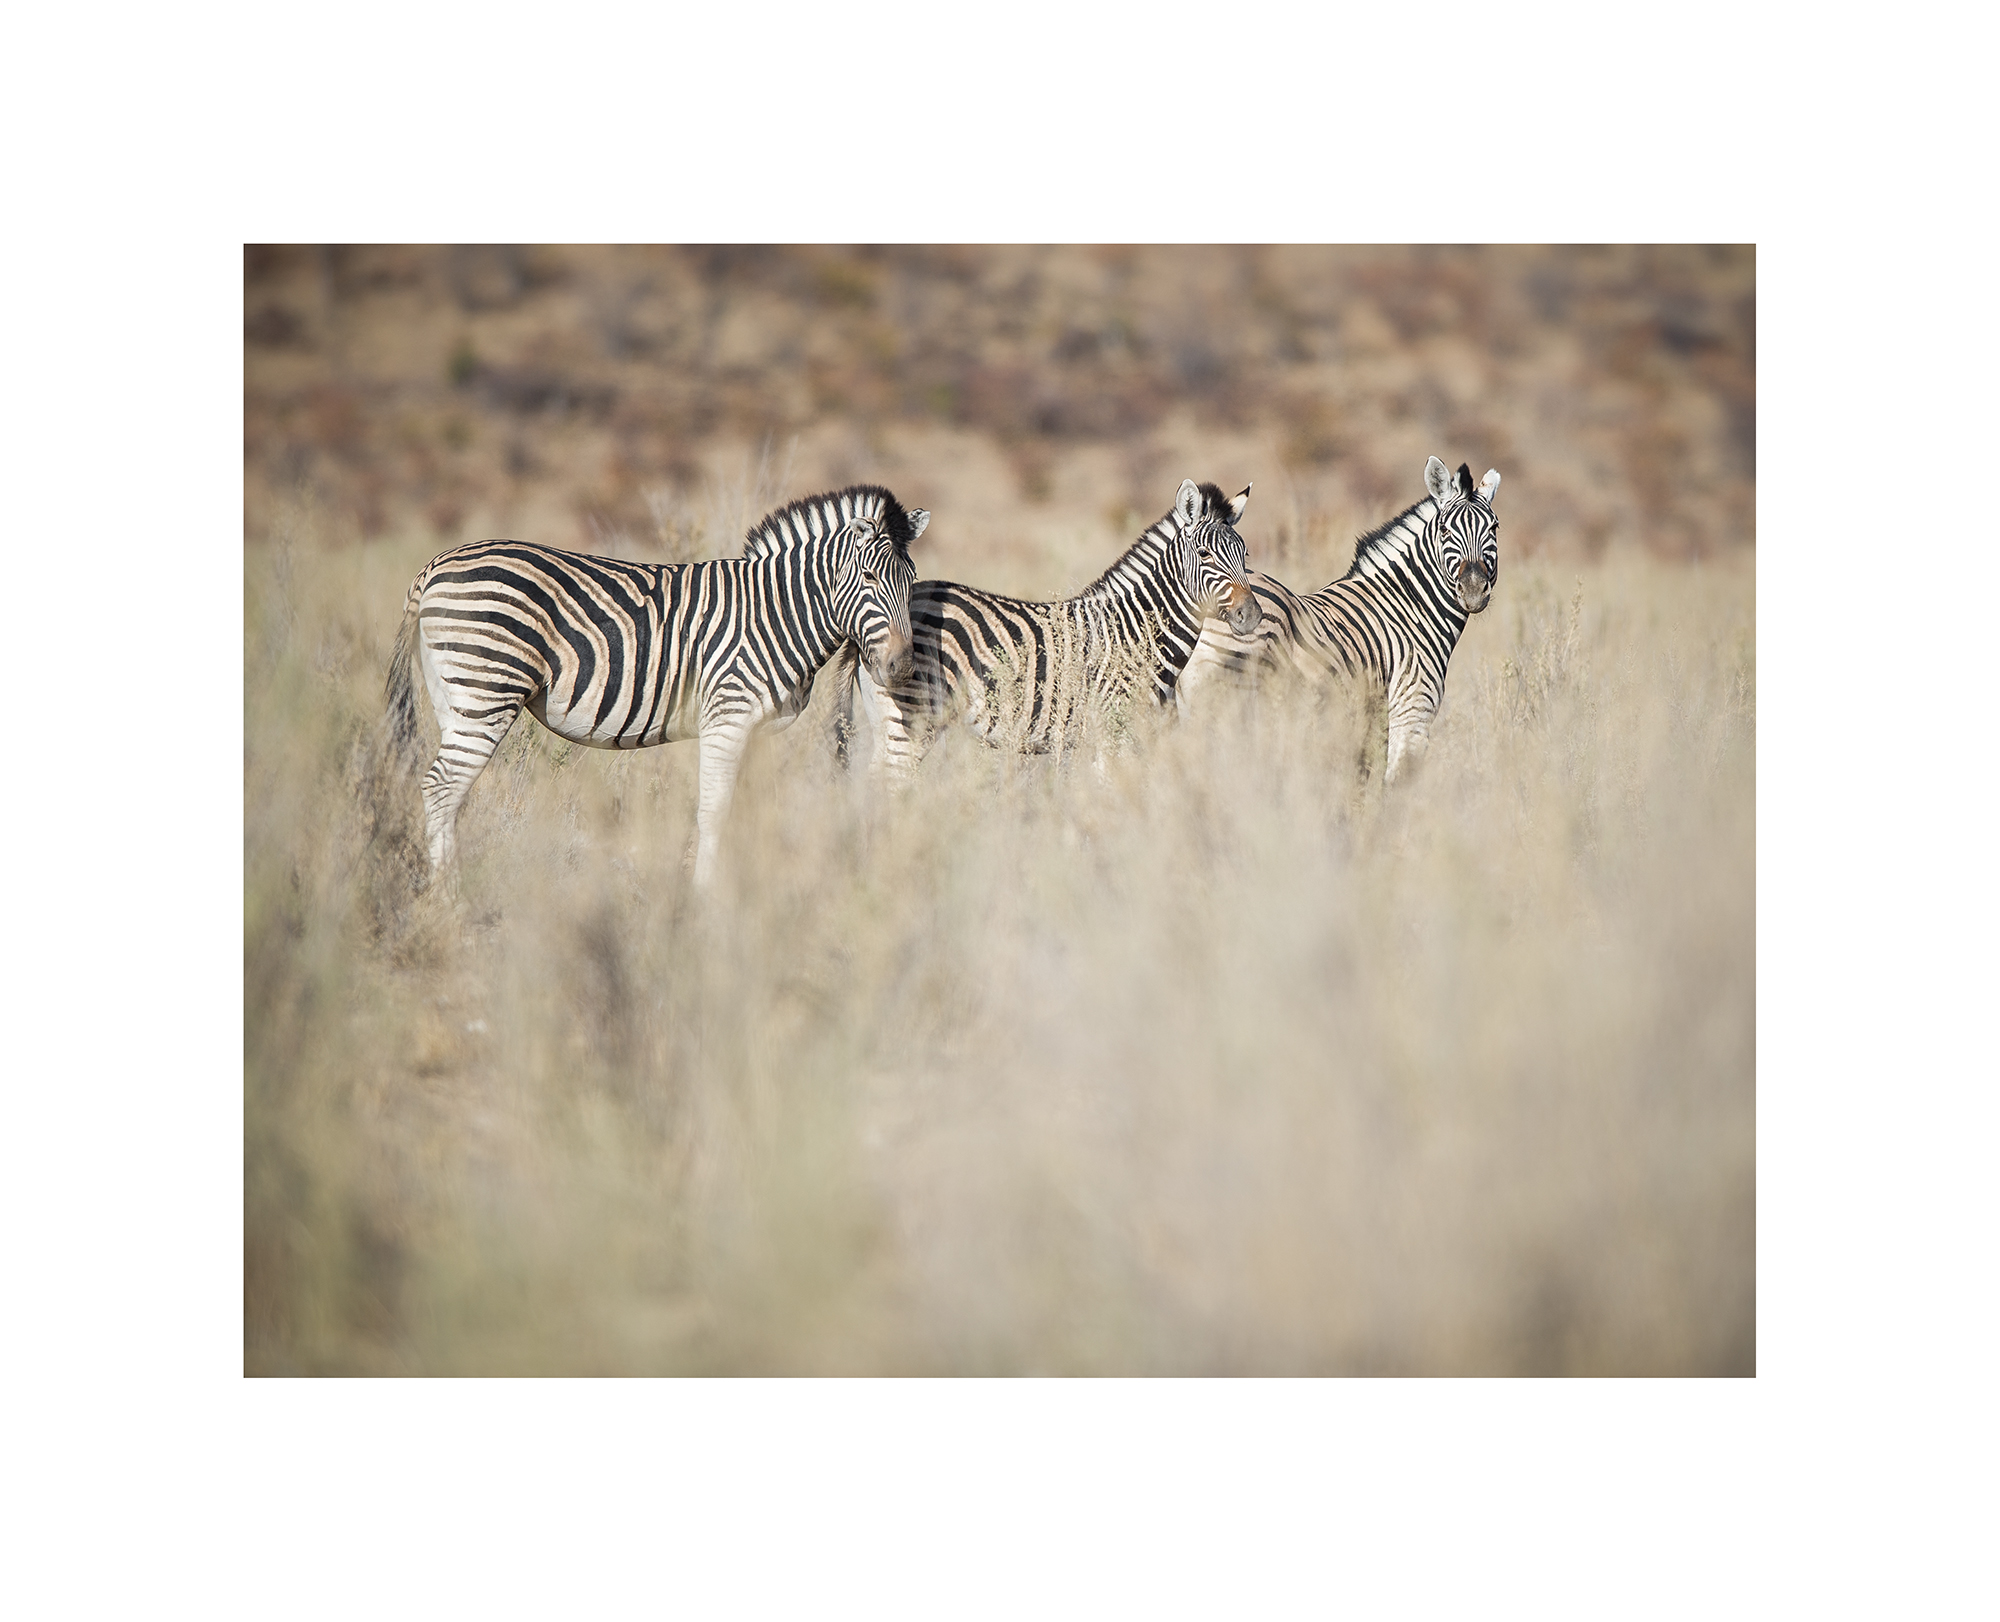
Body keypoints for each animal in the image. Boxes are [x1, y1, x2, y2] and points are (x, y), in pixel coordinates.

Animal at [383, 484, 927, 889]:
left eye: (911, 579)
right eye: (869, 577)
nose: (901, 666)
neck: (778, 612)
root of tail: (433, 567)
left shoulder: (754, 730)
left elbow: (742, 811)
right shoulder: (727, 715)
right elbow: (714, 811)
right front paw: (707, 899)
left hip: (455, 697)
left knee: (449, 793)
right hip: (487, 689)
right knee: (441, 787)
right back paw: (449, 901)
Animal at [836, 478, 1260, 778]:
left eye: (1245, 553)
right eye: (1204, 554)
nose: (1251, 615)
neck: (1136, 633)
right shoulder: (1114, 734)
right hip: (910, 719)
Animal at [1179, 456, 1501, 782]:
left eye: (1494, 528)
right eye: (1445, 531)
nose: (1473, 589)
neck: (1410, 608)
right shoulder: (1412, 712)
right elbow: (1396, 786)